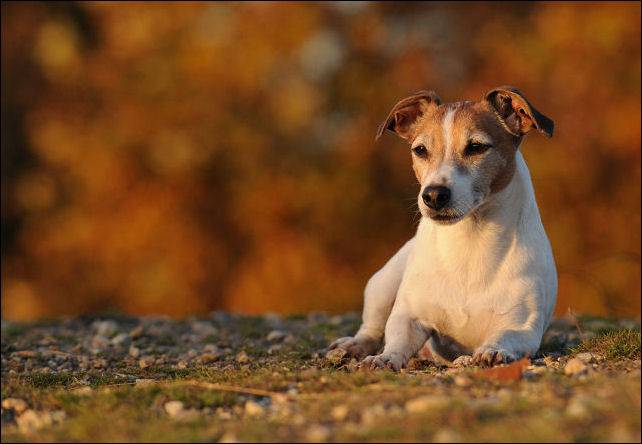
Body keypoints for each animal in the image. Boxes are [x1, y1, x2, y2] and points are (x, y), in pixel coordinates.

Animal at [330, 86, 556, 372]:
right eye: (420, 150)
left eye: (476, 147)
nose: (434, 195)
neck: (469, 242)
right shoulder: (409, 316)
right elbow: (397, 339)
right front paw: (385, 358)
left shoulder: (522, 327)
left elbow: (505, 336)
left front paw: (493, 351)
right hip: (381, 285)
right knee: (371, 328)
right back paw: (353, 346)